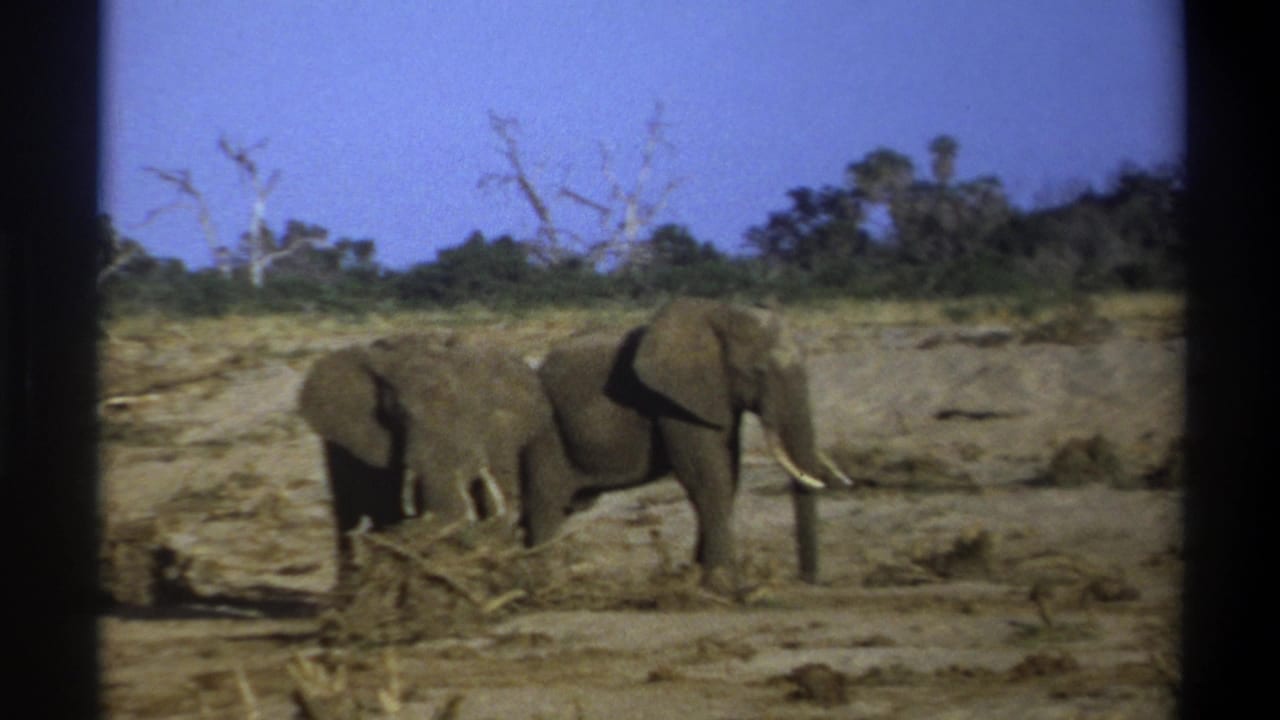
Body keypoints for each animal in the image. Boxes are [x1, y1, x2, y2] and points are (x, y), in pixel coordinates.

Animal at [522, 297, 849, 590]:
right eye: (757, 371)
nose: (807, 581)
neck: (718, 312)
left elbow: (727, 471)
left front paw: (698, 577)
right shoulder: (678, 400)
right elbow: (707, 475)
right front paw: (722, 585)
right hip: (547, 436)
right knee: (548, 506)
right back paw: (542, 583)